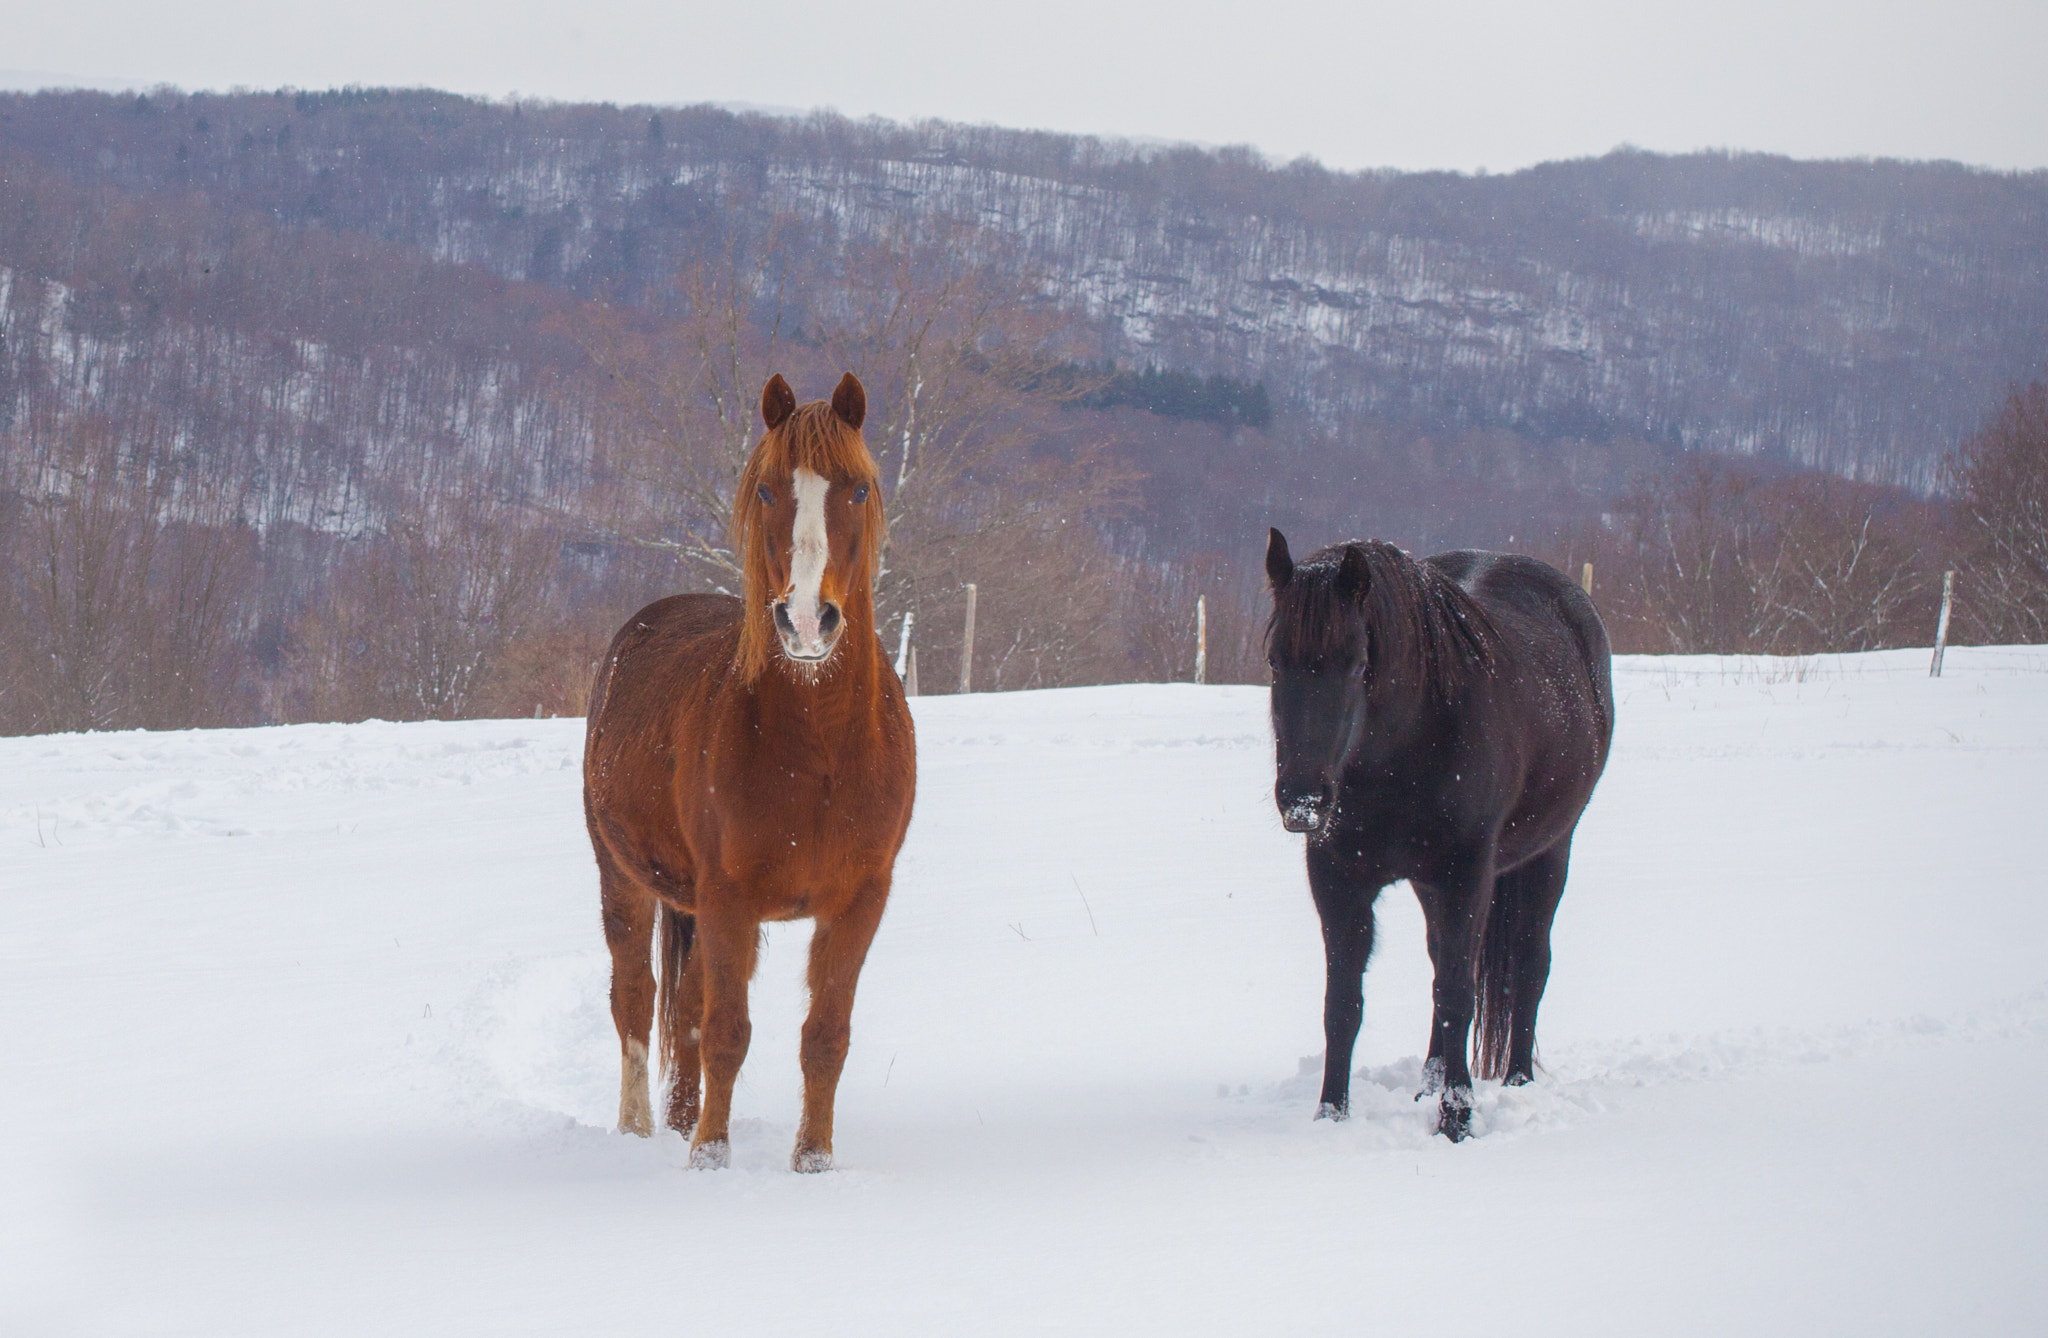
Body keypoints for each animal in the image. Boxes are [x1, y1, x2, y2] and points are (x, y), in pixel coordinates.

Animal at [589, 372, 917, 1172]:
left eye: (859, 488)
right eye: (768, 489)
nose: (805, 620)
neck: (819, 750)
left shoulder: (860, 900)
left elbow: (824, 1037)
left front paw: (813, 1161)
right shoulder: (729, 899)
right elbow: (726, 1033)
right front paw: (711, 1157)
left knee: (683, 1008)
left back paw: (679, 1122)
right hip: (623, 878)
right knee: (636, 998)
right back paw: (644, 1130)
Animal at [1261, 528, 1613, 1139]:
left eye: (1357, 663)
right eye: (1276, 661)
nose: (1303, 801)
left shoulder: (1465, 874)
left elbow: (1456, 994)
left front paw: (1457, 1120)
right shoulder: (1338, 880)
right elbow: (1342, 1003)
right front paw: (1331, 1115)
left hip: (1549, 853)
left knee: (1528, 964)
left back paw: (1518, 1081)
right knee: (1442, 961)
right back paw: (1428, 1081)